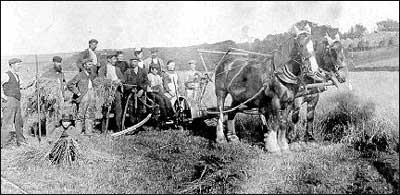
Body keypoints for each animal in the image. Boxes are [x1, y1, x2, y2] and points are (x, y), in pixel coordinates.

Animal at [214, 24, 326, 153]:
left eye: (313, 45)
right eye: (300, 45)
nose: (314, 69)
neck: (279, 74)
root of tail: (225, 61)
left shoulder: (288, 102)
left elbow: (283, 123)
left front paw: (283, 146)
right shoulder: (275, 101)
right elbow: (275, 122)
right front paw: (274, 147)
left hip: (239, 97)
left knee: (232, 112)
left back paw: (233, 138)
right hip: (220, 93)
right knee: (220, 113)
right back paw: (221, 139)